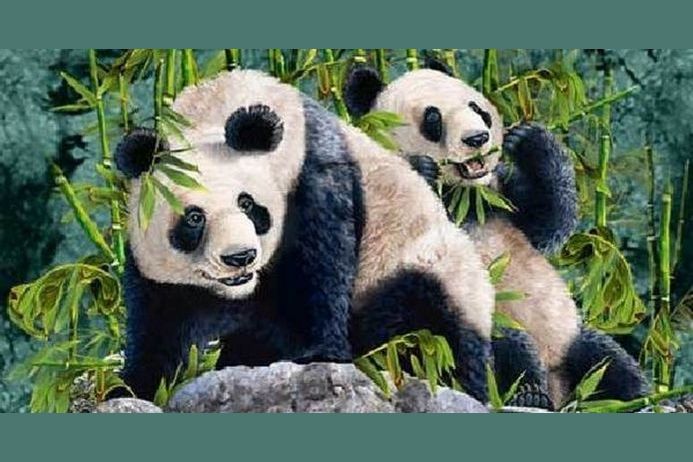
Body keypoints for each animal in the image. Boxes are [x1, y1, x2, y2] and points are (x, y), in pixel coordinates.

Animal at [114, 69, 496, 403]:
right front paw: (134, 386)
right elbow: (160, 324)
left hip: (422, 271)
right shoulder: (159, 273)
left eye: (248, 204)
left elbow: (321, 270)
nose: (239, 257)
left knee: (426, 332)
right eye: (194, 218)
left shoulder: (312, 176)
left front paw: (314, 353)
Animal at [343, 65, 648, 407]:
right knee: (501, 347)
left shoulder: (498, 197)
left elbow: (548, 218)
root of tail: (561, 390)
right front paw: (423, 168)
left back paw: (630, 396)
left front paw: (527, 139)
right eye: (433, 119)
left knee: (606, 360)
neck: (461, 196)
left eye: (478, 109)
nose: (477, 138)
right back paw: (529, 393)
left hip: (569, 338)